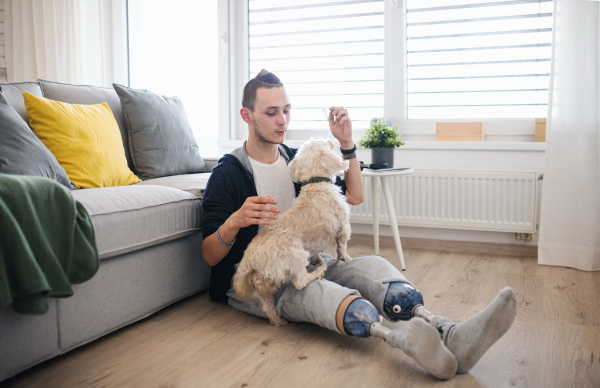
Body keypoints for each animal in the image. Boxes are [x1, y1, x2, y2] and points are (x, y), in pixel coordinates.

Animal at [232, 138, 354, 326]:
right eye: (323, 142)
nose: (330, 139)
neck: (316, 183)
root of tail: (249, 261)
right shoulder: (343, 226)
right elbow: (342, 246)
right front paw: (345, 258)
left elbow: (317, 251)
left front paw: (318, 259)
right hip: (296, 255)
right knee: (300, 281)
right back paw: (318, 272)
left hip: (263, 286)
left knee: (267, 306)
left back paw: (278, 321)